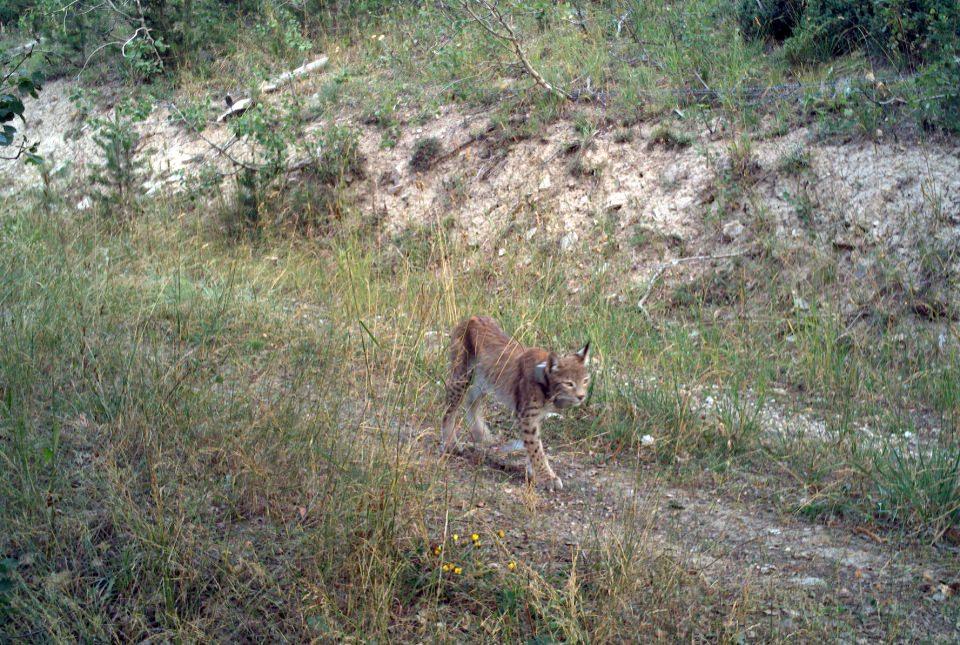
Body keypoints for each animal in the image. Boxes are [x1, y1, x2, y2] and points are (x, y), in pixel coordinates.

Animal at [440, 316, 588, 488]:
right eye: (569, 383)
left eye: (585, 380)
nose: (581, 396)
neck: (547, 388)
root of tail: (472, 317)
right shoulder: (527, 417)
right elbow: (535, 448)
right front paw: (547, 477)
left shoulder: (536, 417)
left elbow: (532, 445)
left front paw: (534, 472)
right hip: (462, 374)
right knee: (449, 407)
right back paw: (450, 443)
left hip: (485, 379)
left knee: (471, 400)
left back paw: (482, 434)